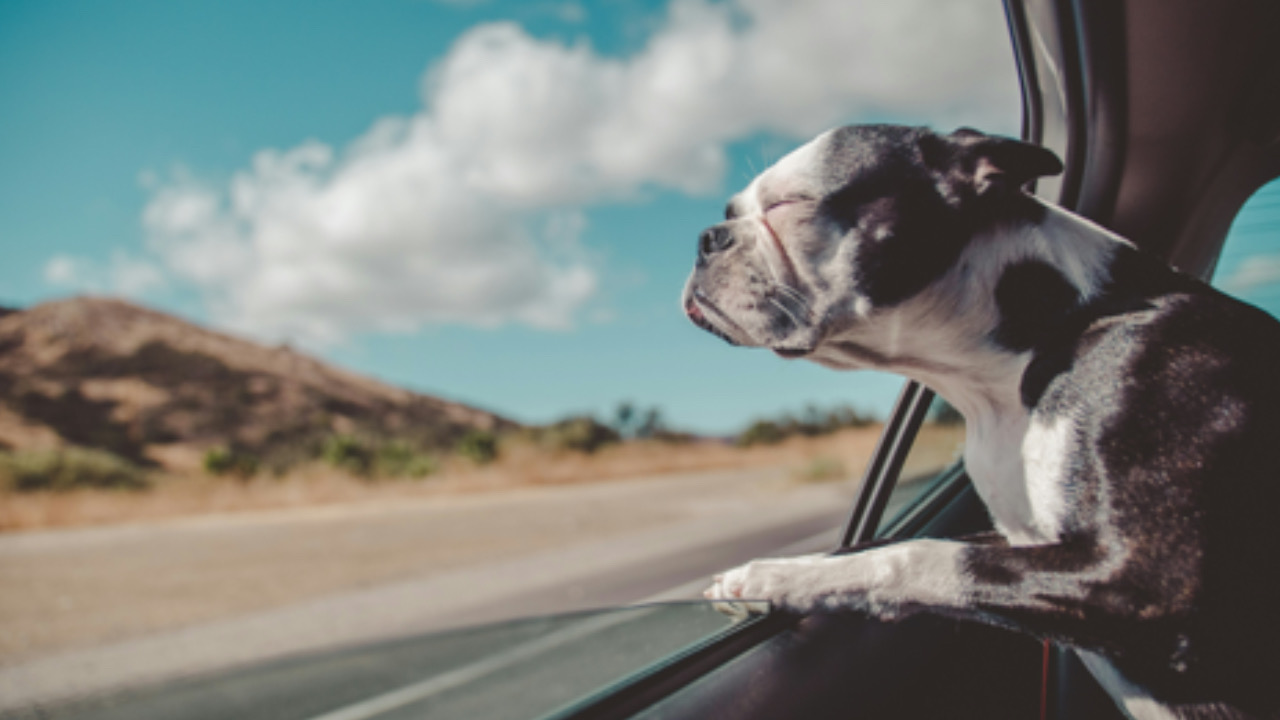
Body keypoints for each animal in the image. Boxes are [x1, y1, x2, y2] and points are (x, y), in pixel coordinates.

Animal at [686, 126, 1280, 712]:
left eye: (789, 203)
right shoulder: (1020, 540)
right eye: (731, 211)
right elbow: (873, 547)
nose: (708, 238)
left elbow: (917, 556)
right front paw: (777, 574)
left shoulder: (1142, 580)